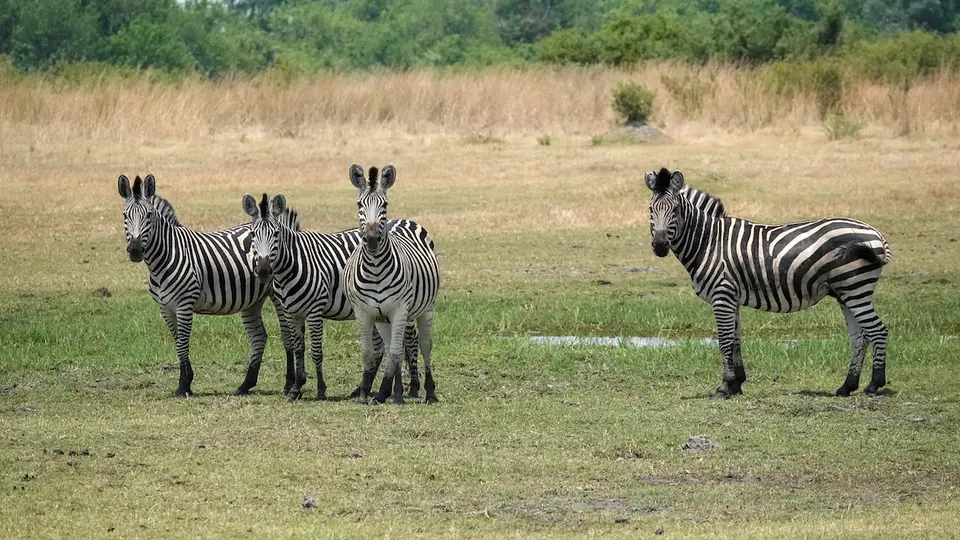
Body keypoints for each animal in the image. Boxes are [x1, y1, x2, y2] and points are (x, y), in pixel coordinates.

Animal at [117, 174, 294, 397]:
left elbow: (183, 343)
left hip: (278, 294)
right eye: (125, 215)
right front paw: (186, 382)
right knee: (258, 337)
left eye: (148, 215)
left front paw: (183, 385)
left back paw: (289, 384)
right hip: (252, 299)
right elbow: (178, 342)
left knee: (287, 335)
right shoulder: (165, 308)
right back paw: (245, 385)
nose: (135, 250)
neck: (164, 257)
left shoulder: (184, 304)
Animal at [240, 192, 421, 401]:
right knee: (381, 347)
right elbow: (298, 348)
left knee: (411, 340)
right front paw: (296, 388)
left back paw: (414, 388)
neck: (294, 264)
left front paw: (320, 389)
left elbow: (316, 352)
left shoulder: (315, 311)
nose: (262, 271)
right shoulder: (291, 312)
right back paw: (362, 389)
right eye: (253, 235)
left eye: (276, 234)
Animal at [343, 164, 440, 405]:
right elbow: (370, 353)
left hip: (425, 308)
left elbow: (397, 352)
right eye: (359, 204)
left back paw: (429, 392)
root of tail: (402, 220)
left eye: (384, 204)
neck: (376, 267)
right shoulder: (364, 312)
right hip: (384, 318)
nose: (371, 239)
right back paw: (388, 392)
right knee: (392, 348)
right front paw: (365, 394)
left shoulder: (399, 309)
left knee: (424, 345)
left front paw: (394, 393)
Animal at [645, 167, 892, 398]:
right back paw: (847, 386)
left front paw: (724, 386)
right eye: (650, 210)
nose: (659, 246)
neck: (708, 242)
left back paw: (874, 384)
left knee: (878, 330)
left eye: (675, 210)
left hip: (855, 287)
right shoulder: (731, 298)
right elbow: (735, 340)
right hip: (845, 292)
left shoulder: (721, 295)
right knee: (860, 337)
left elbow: (724, 341)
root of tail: (876, 233)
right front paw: (737, 384)